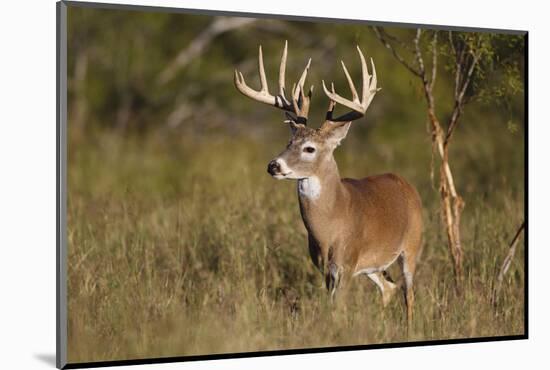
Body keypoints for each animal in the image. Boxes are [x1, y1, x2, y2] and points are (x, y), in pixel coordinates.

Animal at [235, 40, 424, 326]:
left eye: (309, 148)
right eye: (289, 142)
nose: (273, 165)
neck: (331, 225)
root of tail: (408, 186)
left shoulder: (347, 262)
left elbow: (339, 308)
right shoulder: (325, 267)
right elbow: (332, 305)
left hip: (411, 245)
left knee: (409, 293)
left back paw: (410, 327)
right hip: (373, 263)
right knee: (389, 287)